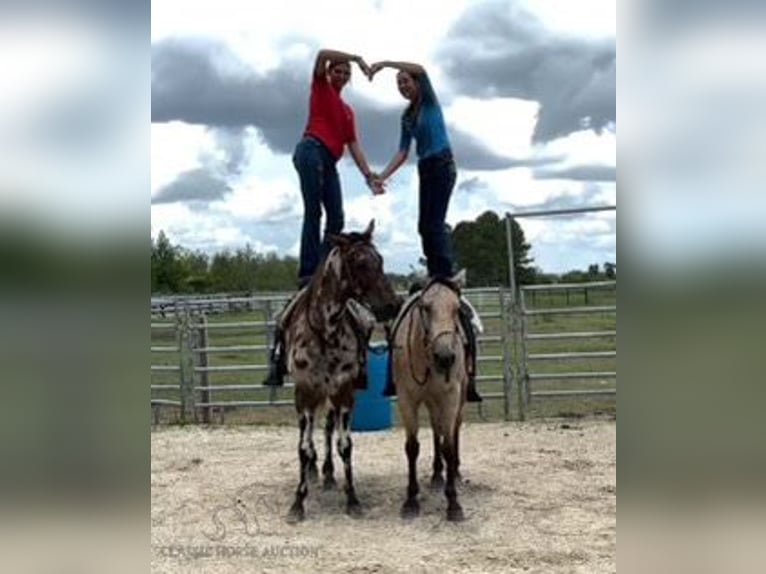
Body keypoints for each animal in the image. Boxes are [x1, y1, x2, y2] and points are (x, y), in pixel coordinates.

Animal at [392, 272, 472, 524]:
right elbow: (412, 447)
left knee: (452, 431)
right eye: (425, 307)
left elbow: (448, 447)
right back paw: (437, 474)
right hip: (431, 402)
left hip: (458, 401)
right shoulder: (407, 399)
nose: (445, 357)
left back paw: (455, 472)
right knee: (437, 430)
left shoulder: (450, 397)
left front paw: (454, 504)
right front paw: (410, 501)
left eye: (456, 308)